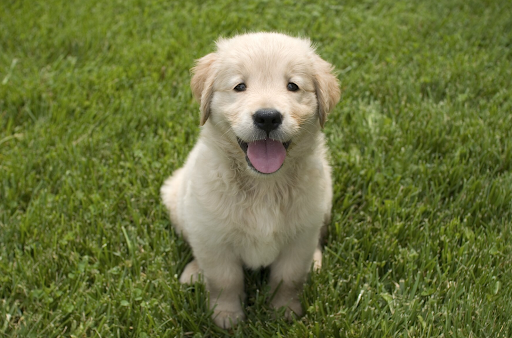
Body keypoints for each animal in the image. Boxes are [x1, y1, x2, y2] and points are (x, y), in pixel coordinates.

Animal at [161, 32, 340, 328]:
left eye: (293, 86)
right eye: (240, 86)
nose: (267, 117)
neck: (264, 186)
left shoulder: (300, 238)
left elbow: (288, 278)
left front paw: (284, 312)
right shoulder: (212, 238)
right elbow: (225, 280)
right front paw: (226, 317)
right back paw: (193, 272)